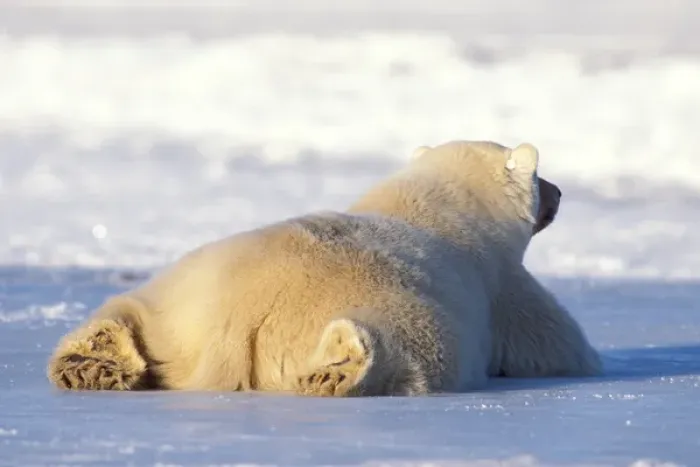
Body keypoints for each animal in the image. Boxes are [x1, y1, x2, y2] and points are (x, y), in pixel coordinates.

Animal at [47, 139, 600, 396]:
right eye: (541, 179)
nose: (559, 192)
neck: (438, 202)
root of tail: (237, 319)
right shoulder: (504, 289)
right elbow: (556, 342)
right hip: (400, 315)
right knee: (401, 353)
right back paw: (340, 366)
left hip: (178, 298)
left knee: (126, 309)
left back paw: (91, 362)